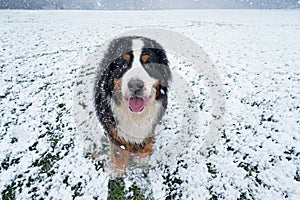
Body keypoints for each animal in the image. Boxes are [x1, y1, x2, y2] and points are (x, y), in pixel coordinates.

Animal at [95, 36, 172, 177]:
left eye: (148, 64)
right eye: (123, 65)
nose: (135, 85)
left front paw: (141, 158)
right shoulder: (110, 122)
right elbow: (118, 149)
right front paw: (117, 169)